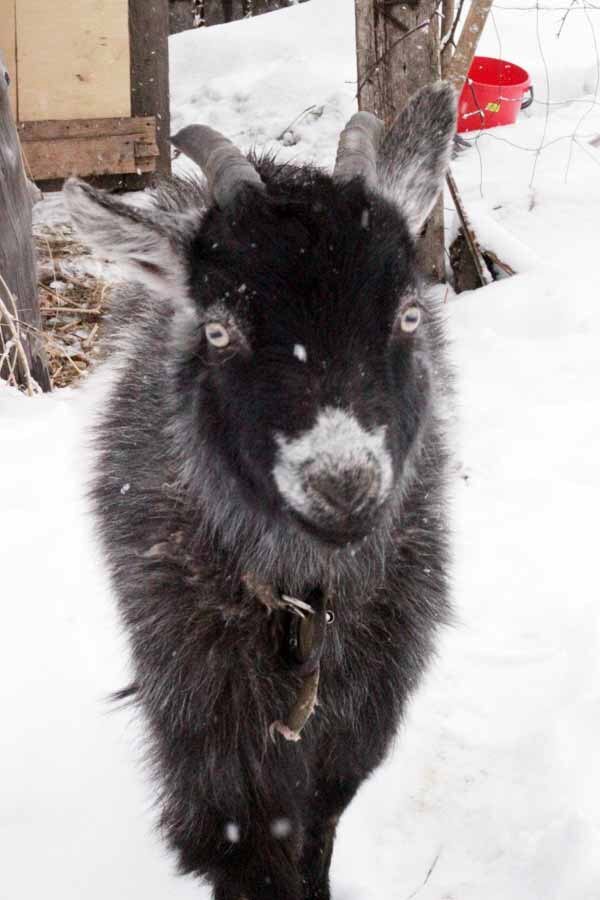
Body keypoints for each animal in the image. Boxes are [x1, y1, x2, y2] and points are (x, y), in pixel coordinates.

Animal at [65, 84, 458, 900]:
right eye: (218, 332)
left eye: (408, 315)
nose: (342, 484)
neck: (299, 603)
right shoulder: (206, 728)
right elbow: (253, 847)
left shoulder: (357, 721)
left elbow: (316, 829)